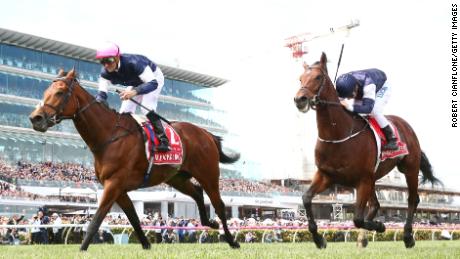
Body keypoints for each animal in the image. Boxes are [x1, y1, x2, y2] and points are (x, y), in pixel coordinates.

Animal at [29, 68, 241, 250]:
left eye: (60, 92)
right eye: (46, 91)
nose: (35, 118)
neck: (109, 135)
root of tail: (207, 133)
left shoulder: (113, 184)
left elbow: (96, 220)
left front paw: (82, 249)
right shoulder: (119, 188)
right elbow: (133, 218)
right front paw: (146, 245)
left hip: (208, 174)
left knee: (219, 205)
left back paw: (232, 240)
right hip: (176, 177)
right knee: (197, 193)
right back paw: (210, 222)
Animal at [292, 53, 440, 250]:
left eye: (318, 77)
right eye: (300, 78)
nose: (299, 99)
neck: (338, 134)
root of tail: (405, 125)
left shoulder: (362, 179)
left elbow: (357, 218)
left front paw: (380, 226)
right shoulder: (326, 175)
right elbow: (306, 198)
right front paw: (318, 239)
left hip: (409, 168)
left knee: (412, 199)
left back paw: (407, 236)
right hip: (374, 177)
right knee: (376, 205)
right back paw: (364, 237)